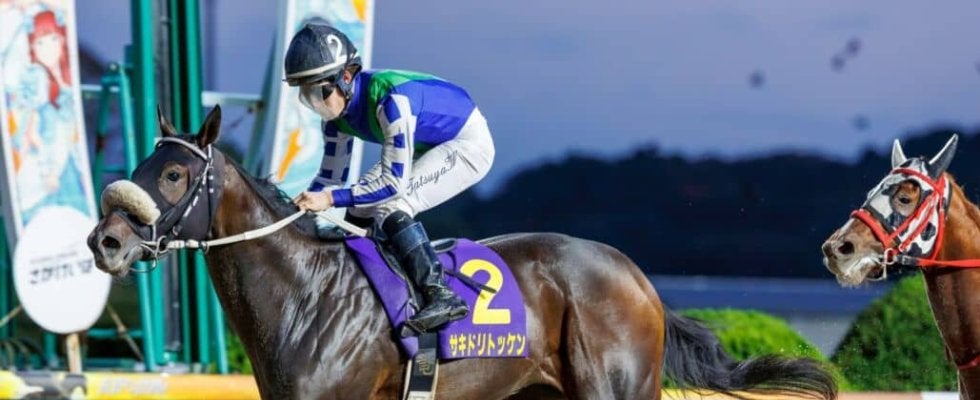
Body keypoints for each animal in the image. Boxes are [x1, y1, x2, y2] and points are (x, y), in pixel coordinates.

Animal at [88, 105, 837, 399]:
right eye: (145, 162)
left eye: (175, 174)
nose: (107, 240)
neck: (303, 296)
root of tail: (637, 276)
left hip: (616, 388)